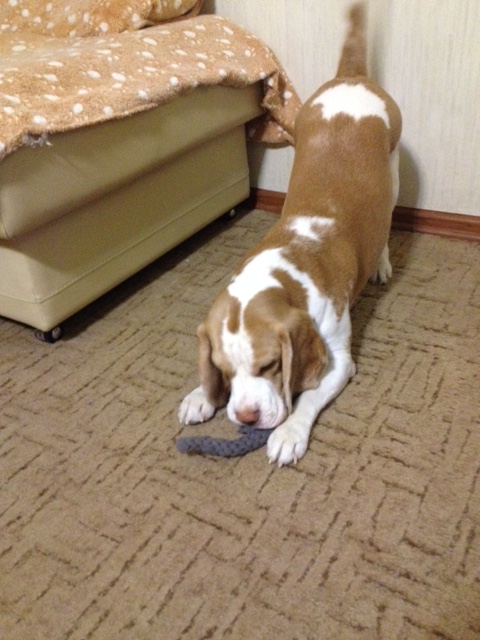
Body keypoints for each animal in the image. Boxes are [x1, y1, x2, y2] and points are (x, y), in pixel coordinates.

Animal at [179, 3, 402, 466]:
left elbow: (310, 396)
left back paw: (382, 264)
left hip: (394, 173)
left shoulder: (338, 361)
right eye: (225, 370)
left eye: (269, 366)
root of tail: (350, 77)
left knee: (388, 223)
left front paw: (290, 432)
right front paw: (200, 394)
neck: (286, 268)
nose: (245, 417)